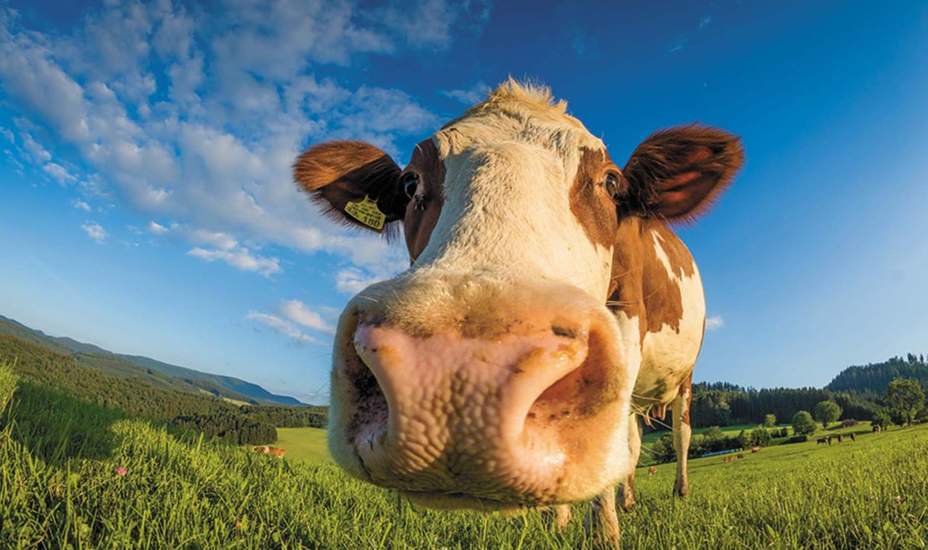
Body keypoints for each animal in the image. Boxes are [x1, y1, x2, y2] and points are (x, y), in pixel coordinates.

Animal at [293, 80, 743, 548]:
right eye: (409, 182)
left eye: (610, 181)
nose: (458, 375)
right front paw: (560, 518)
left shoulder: (628, 321)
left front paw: (602, 533)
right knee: (633, 437)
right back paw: (628, 499)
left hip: (684, 376)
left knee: (679, 432)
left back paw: (679, 492)